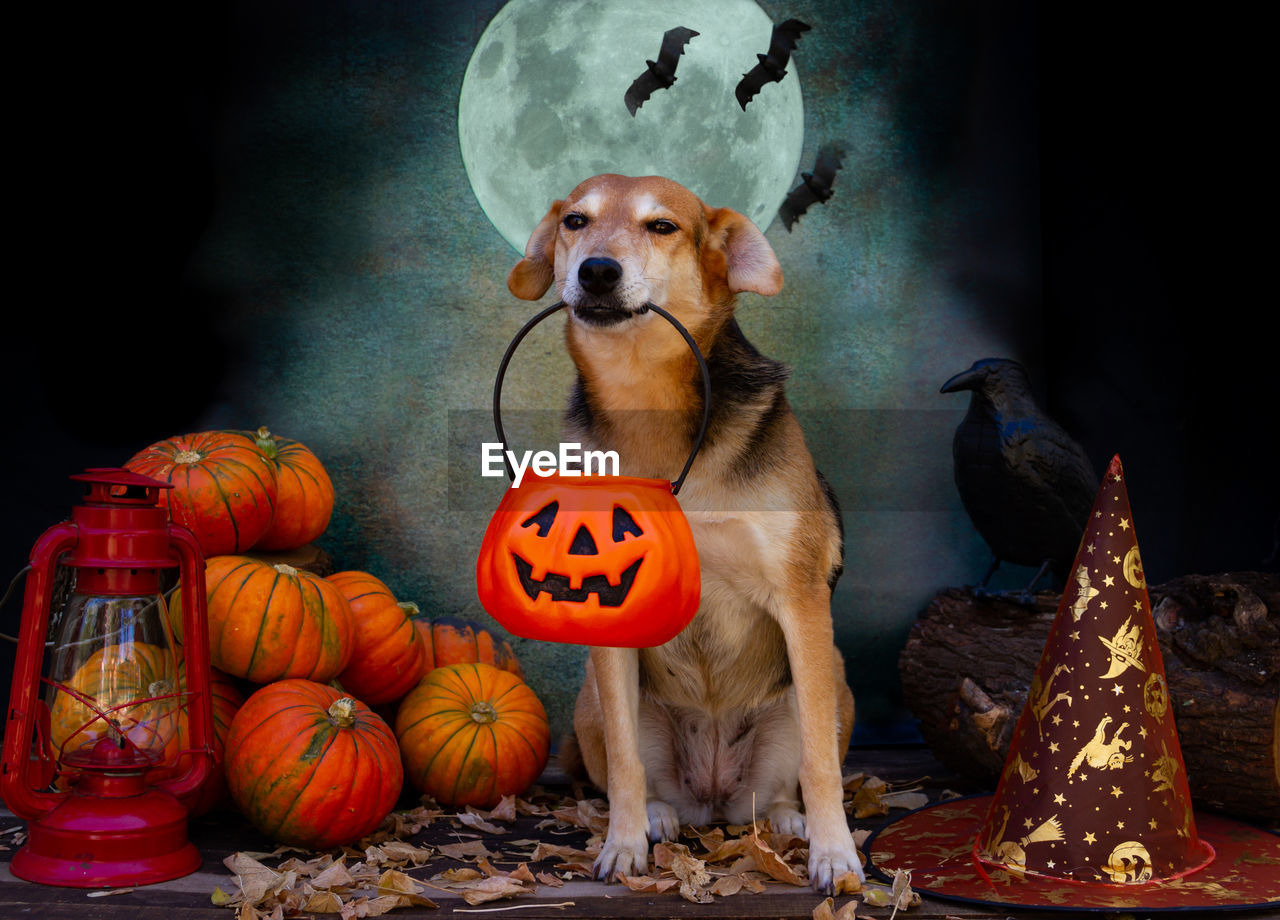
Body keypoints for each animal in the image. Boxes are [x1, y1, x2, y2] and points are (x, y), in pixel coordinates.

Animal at [506, 172, 860, 890]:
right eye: (576, 221)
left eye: (662, 226)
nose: (598, 271)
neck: (649, 402)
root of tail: (714, 799)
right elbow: (625, 764)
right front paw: (624, 846)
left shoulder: (801, 601)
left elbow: (819, 764)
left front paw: (837, 854)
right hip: (592, 698)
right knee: (634, 773)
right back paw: (660, 817)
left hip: (832, 679)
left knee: (786, 782)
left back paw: (790, 820)